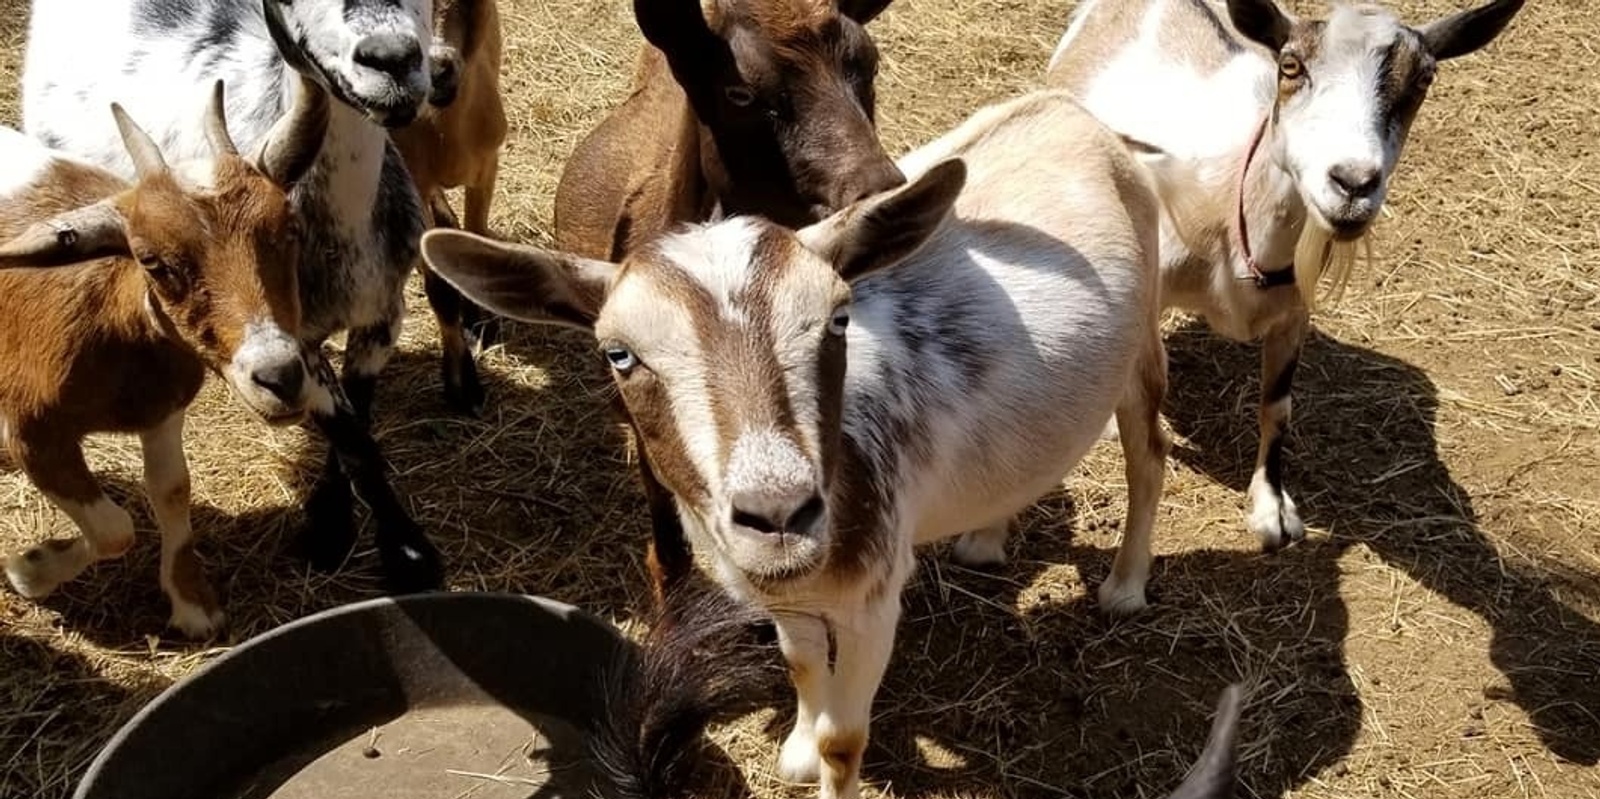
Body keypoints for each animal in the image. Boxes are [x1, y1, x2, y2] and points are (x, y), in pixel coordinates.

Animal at [0, 84, 324, 640]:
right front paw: (29, 570)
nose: (280, 377)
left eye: (291, 229)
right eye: (152, 261)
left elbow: (171, 489)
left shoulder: (164, 410)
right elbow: (116, 530)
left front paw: (192, 605)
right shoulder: (32, 432)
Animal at [23, 0, 457, 589]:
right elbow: (347, 431)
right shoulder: (287, 336)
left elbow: (359, 421)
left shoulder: (382, 312)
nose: (392, 59)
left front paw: (373, 535)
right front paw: (367, 545)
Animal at [425, 90, 1177, 799]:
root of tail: (1070, 110)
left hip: (1142, 335)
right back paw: (986, 539)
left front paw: (821, 755)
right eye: (619, 353)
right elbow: (801, 663)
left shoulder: (874, 594)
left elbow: (846, 741)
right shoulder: (787, 596)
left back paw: (1124, 586)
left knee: (1148, 453)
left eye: (839, 317)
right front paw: (794, 750)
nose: (779, 514)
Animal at [1049, 0, 1523, 550]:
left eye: (1424, 78)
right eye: (1291, 66)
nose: (1352, 184)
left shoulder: (1293, 313)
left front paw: (1272, 511)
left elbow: (1277, 407)